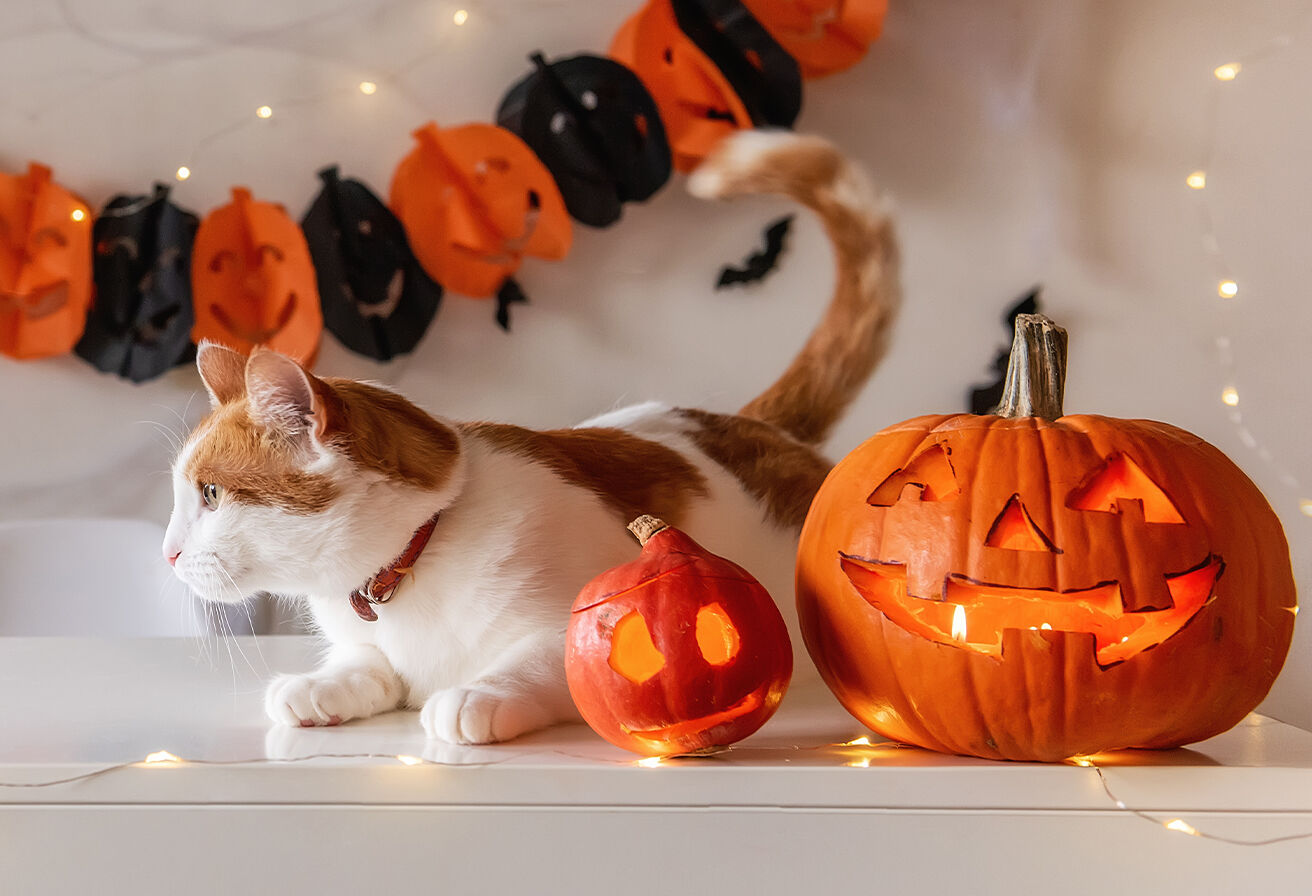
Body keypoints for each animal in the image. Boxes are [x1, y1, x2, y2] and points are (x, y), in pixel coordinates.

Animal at [161, 131, 902, 745]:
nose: (167, 554)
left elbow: (534, 665)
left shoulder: (581, 626)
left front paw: (477, 695)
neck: (412, 561)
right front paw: (320, 685)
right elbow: (365, 666)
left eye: (211, 494)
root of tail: (748, 423)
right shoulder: (372, 646)